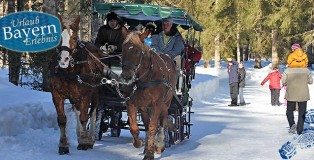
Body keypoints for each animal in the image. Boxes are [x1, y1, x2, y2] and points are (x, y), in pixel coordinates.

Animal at [49, 15, 106, 154]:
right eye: (59, 37)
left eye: (74, 37)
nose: (63, 59)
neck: (69, 71)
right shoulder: (56, 94)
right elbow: (62, 119)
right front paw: (63, 145)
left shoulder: (85, 95)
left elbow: (84, 117)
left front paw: (84, 143)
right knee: (78, 111)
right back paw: (80, 134)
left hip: (95, 93)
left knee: (93, 114)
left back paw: (90, 139)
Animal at [120, 31, 177, 159]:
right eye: (123, 49)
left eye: (137, 51)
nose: (126, 76)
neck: (145, 79)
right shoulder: (131, 103)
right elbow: (134, 127)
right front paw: (139, 143)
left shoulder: (157, 104)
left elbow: (153, 127)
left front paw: (150, 153)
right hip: (145, 108)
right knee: (146, 125)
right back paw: (146, 147)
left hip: (165, 104)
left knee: (162, 121)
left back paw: (159, 145)